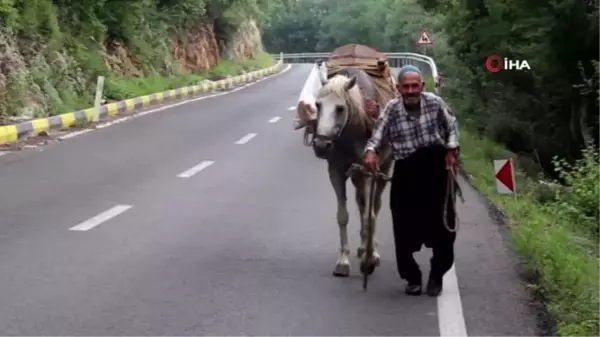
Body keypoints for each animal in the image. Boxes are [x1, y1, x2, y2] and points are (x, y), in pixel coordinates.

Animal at [310, 65, 394, 276]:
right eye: (318, 105)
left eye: (340, 108)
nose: (321, 145)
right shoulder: (336, 171)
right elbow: (343, 216)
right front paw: (343, 261)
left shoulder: (369, 170)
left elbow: (370, 215)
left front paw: (369, 260)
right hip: (357, 175)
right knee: (362, 204)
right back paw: (363, 248)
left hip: (384, 169)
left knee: (374, 207)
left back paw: (372, 251)